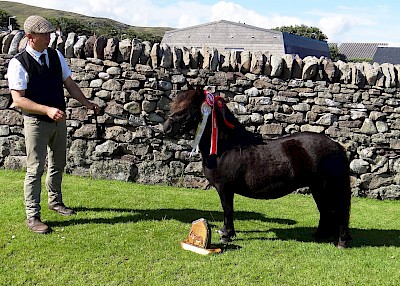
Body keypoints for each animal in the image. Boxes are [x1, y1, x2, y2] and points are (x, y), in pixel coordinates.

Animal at [164, 87, 352, 248]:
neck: (227, 146)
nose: (166, 127)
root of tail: (336, 145)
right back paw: (320, 236)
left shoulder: (225, 188)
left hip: (329, 187)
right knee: (325, 211)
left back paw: (341, 242)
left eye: (189, 107)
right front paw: (227, 232)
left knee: (339, 210)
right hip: (318, 188)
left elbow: (227, 210)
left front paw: (226, 235)